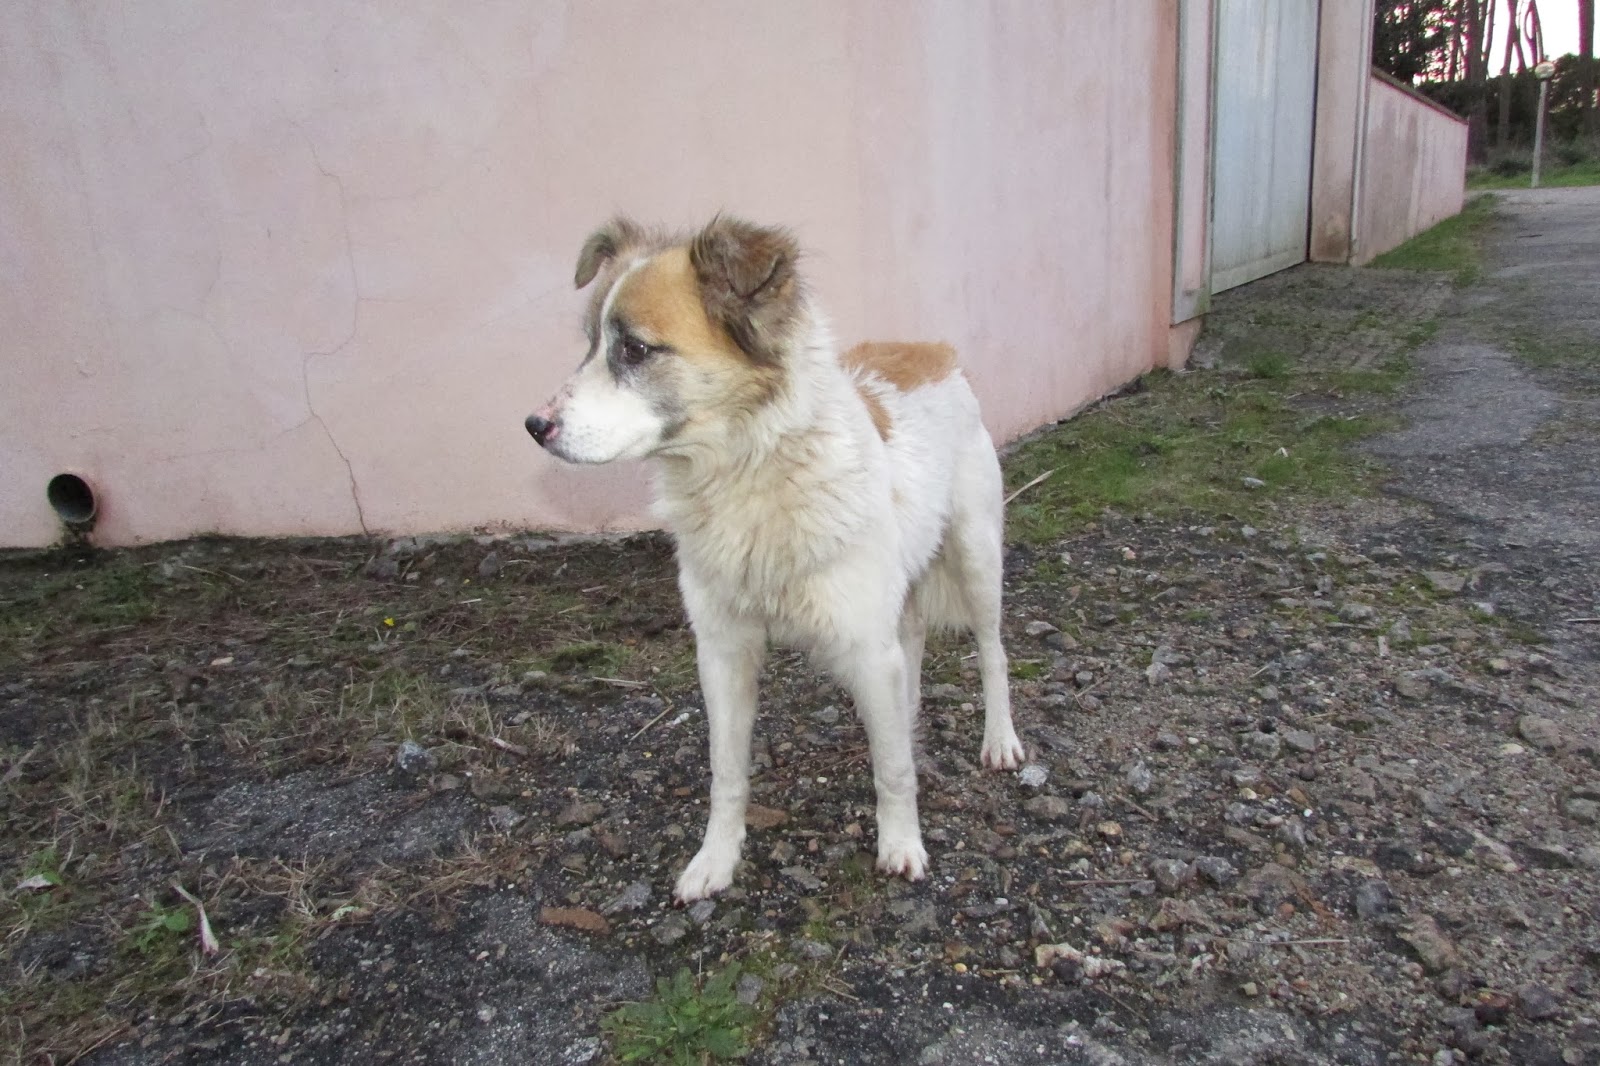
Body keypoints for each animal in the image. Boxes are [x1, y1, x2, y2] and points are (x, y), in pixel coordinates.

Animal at [526, 216, 1023, 902]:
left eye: (636, 350)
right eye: (591, 344)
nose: (533, 426)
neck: (750, 471)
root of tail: (934, 349)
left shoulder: (866, 646)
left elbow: (893, 771)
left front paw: (901, 844)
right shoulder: (724, 652)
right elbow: (726, 772)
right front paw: (716, 859)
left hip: (977, 561)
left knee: (994, 651)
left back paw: (1000, 740)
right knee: (914, 646)